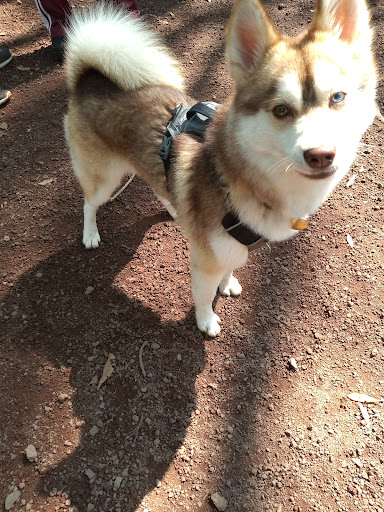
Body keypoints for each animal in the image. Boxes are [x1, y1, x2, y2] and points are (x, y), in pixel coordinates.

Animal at [64, 0, 376, 336]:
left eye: (337, 97)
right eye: (281, 110)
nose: (321, 155)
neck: (240, 180)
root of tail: (88, 78)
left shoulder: (237, 247)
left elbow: (230, 269)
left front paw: (227, 284)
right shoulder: (205, 259)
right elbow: (203, 295)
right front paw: (206, 321)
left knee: (160, 185)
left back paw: (174, 207)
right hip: (103, 178)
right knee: (89, 203)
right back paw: (91, 234)